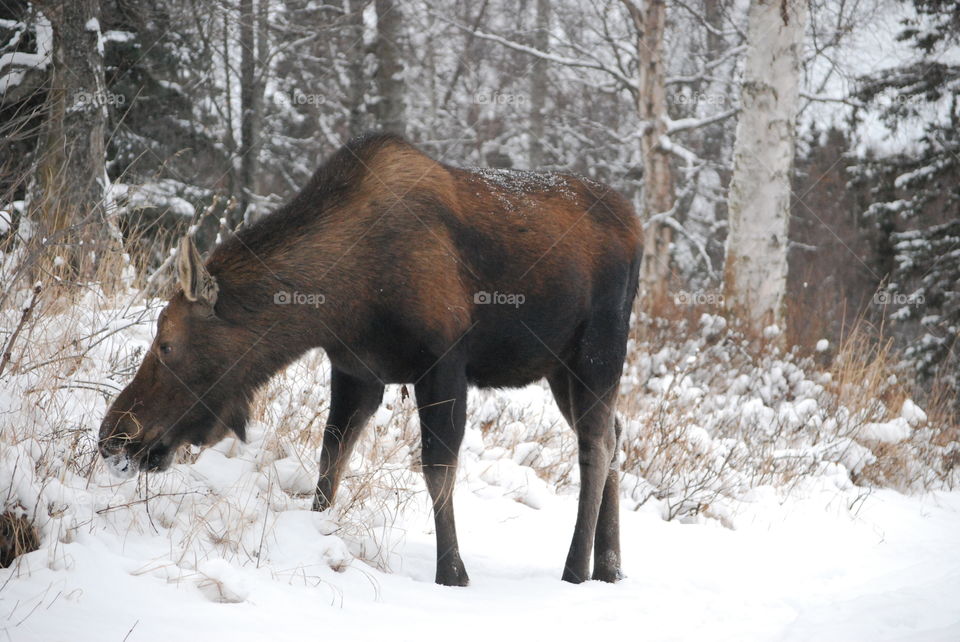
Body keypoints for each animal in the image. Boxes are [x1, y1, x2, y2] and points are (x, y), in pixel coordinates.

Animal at [97, 132, 640, 584]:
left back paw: (577, 567)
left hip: (598, 349)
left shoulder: (443, 363)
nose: (112, 436)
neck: (343, 300)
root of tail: (637, 225)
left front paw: (453, 572)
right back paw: (611, 566)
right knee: (614, 432)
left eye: (167, 343)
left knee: (595, 443)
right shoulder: (356, 369)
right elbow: (330, 460)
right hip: (559, 367)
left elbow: (437, 469)